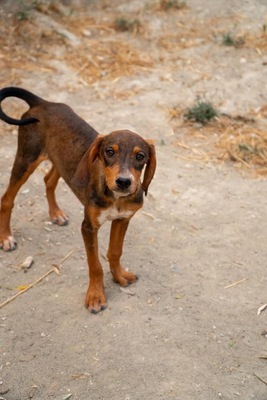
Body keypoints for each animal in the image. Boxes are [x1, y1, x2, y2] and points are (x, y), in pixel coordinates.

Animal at [0, 86, 157, 312]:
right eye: (109, 151)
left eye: (140, 156)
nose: (124, 182)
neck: (116, 198)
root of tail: (43, 103)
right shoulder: (88, 227)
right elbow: (95, 265)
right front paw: (96, 296)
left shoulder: (123, 219)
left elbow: (115, 251)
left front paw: (119, 275)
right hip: (26, 158)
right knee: (7, 198)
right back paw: (6, 237)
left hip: (60, 161)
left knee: (48, 180)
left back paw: (56, 214)